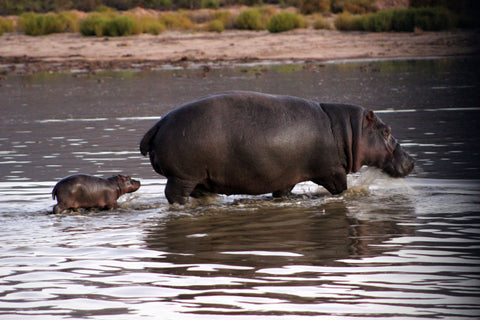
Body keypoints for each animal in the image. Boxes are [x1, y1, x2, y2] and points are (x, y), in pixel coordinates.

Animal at [139, 91, 412, 204]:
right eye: (386, 131)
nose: (411, 160)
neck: (350, 130)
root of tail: (159, 123)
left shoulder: (286, 175)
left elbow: (283, 192)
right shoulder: (332, 172)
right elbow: (341, 190)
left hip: (198, 178)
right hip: (182, 176)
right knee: (174, 195)